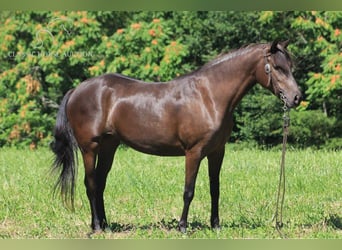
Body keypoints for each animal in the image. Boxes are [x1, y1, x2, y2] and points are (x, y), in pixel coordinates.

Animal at [50, 39, 302, 232]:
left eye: (291, 66)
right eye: (277, 67)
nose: (296, 97)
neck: (209, 96)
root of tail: (77, 89)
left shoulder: (217, 152)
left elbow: (215, 188)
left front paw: (216, 225)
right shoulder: (194, 152)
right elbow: (188, 191)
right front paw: (182, 226)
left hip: (109, 146)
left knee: (100, 182)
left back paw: (106, 224)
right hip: (89, 148)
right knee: (91, 183)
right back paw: (96, 227)